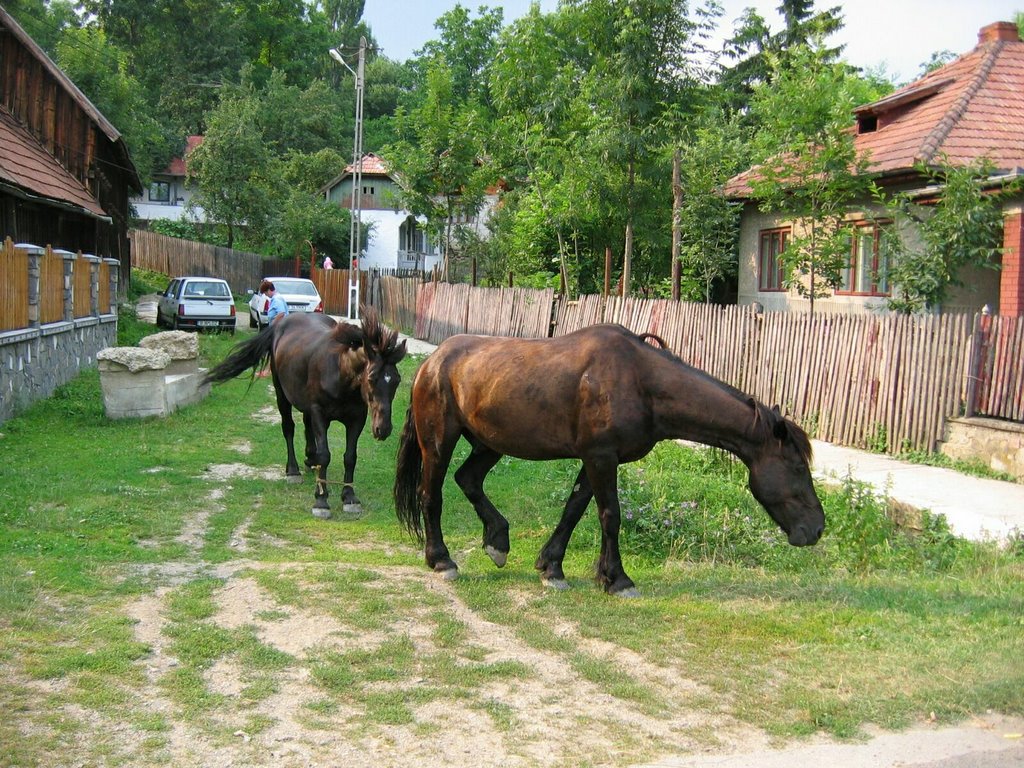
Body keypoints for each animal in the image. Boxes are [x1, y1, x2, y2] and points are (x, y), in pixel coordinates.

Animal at [203, 305, 403, 518]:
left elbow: (350, 457)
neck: (340, 372)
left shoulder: (357, 418)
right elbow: (325, 455)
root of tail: (281, 322)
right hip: (282, 395)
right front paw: (321, 500)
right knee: (288, 428)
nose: (383, 428)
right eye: (372, 378)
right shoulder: (319, 414)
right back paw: (293, 471)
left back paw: (310, 459)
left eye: (397, 380)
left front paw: (349, 497)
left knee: (307, 427)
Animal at [391, 323, 823, 593]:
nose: (816, 529)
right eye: (797, 466)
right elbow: (609, 516)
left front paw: (552, 568)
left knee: (469, 480)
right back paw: (442, 561)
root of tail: (432, 363)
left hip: (489, 444)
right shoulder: (601, 458)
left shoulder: (594, 459)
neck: (641, 382)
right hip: (439, 442)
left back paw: (497, 540)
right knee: (432, 496)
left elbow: (574, 511)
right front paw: (617, 579)